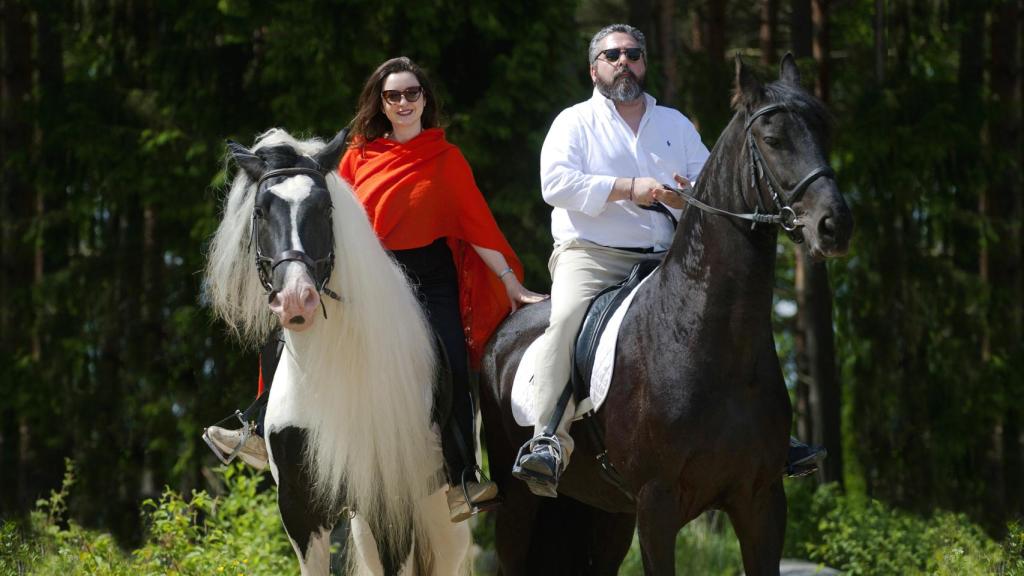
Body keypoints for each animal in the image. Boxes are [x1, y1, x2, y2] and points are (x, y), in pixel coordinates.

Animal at [202, 127, 471, 569]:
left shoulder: (390, 506)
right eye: (260, 211)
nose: (297, 299)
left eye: (323, 208)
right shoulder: (300, 509)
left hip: (438, 514)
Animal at [479, 54, 856, 573]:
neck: (707, 339)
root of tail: (501, 335)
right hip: (520, 505)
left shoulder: (761, 500)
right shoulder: (657, 505)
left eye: (824, 131)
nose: (834, 226)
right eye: (773, 140)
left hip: (606, 512)